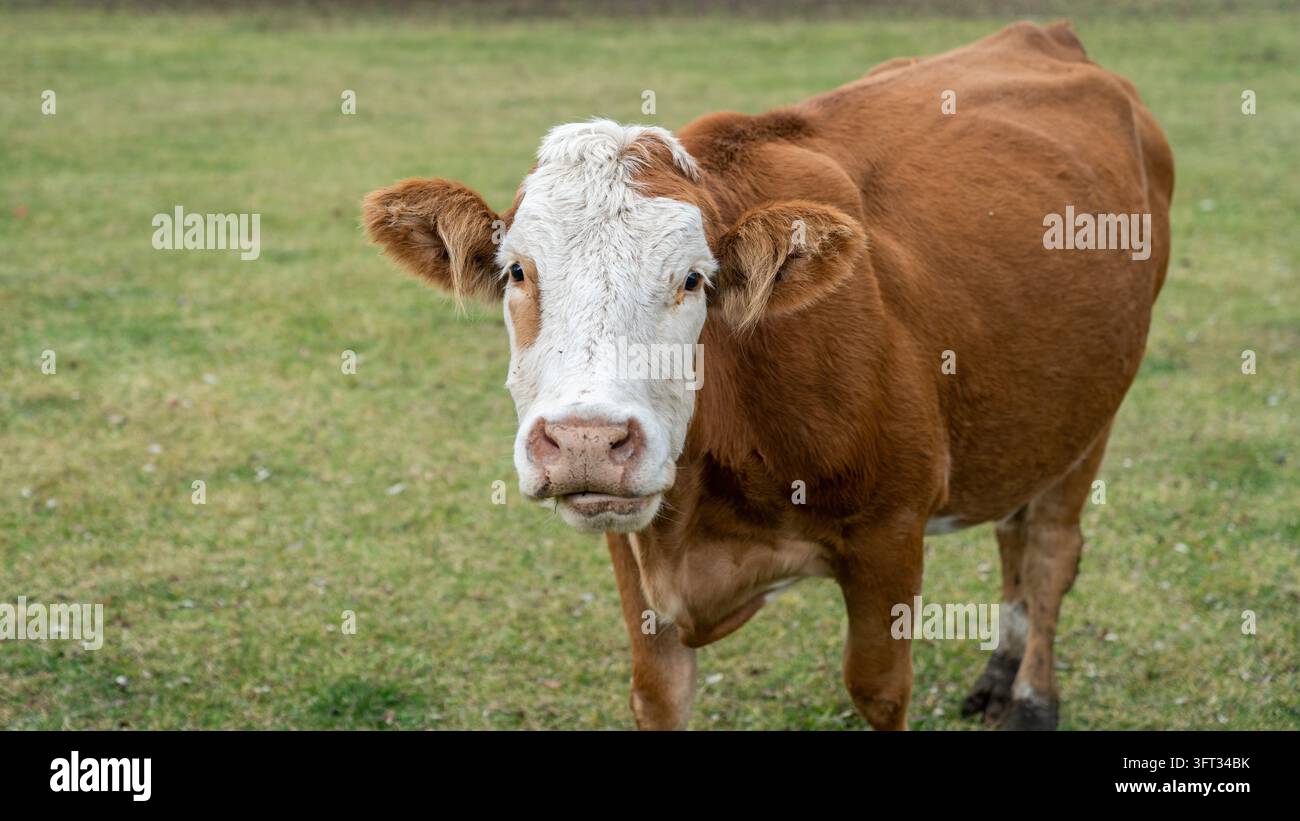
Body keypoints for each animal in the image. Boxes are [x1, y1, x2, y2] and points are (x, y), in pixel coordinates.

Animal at [363, 20, 1174, 730]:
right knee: (1014, 529)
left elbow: (879, 688)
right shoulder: (634, 548)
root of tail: (1043, 33)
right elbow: (658, 694)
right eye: (517, 271)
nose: (587, 441)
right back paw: (1000, 674)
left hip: (1093, 409)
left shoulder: (890, 532)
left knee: (1050, 550)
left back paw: (1033, 697)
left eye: (694, 278)